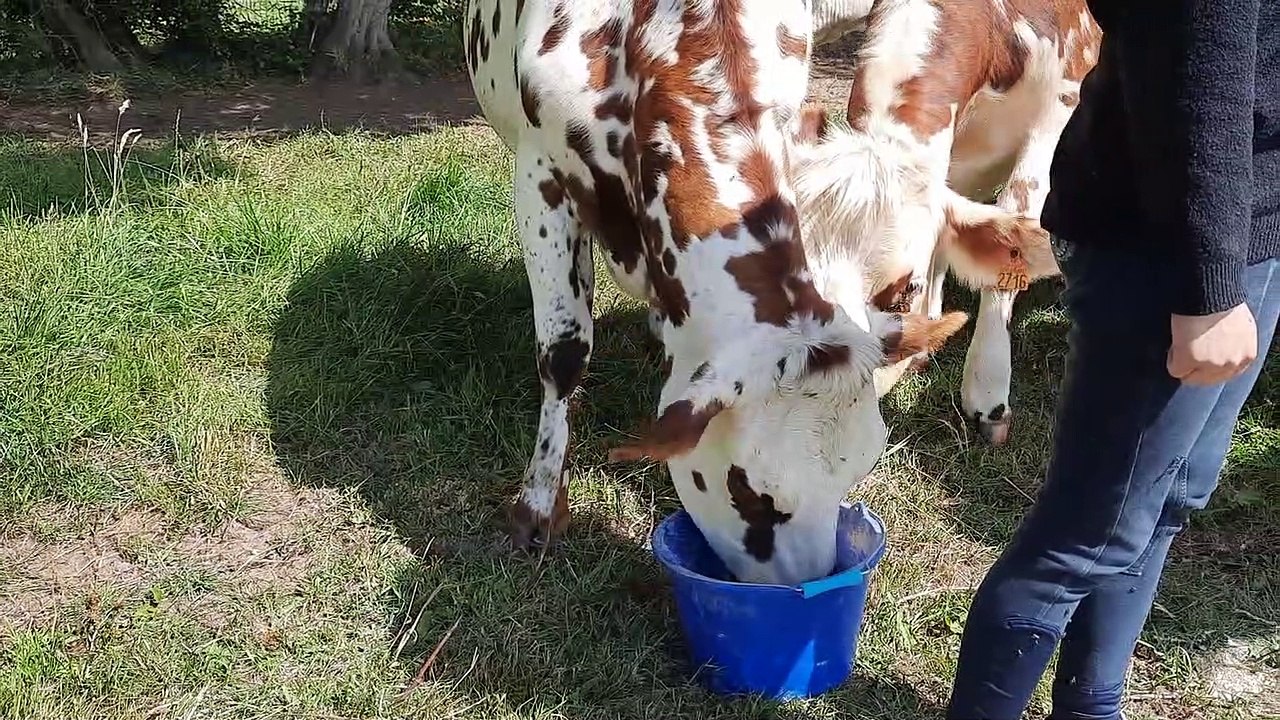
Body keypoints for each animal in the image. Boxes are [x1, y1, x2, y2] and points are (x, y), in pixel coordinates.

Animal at [462, 0, 970, 586]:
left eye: (855, 475)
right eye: (751, 494)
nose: (809, 587)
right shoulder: (541, 174)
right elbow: (564, 356)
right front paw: (539, 507)